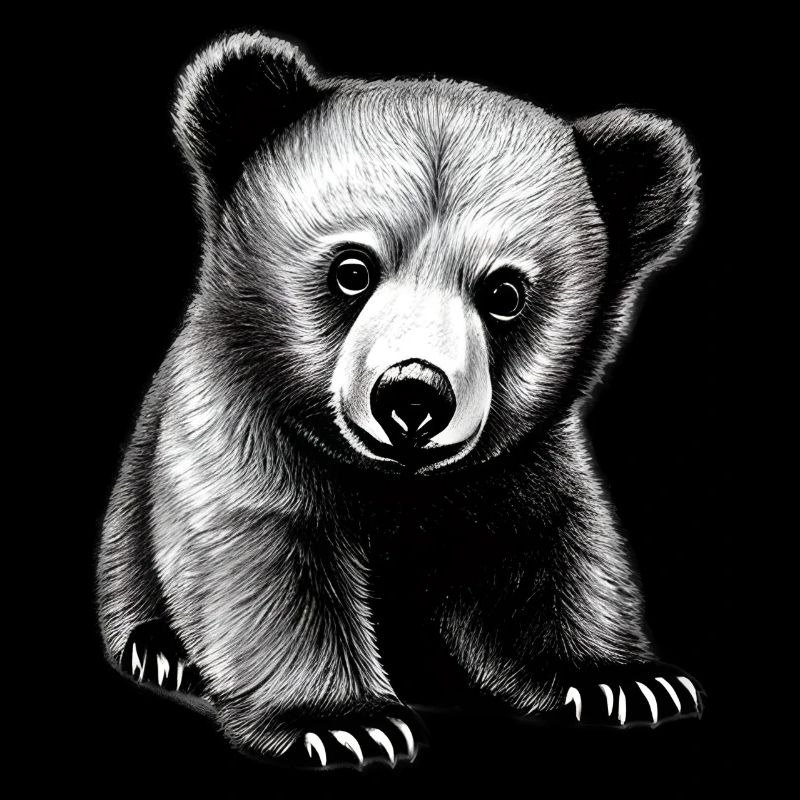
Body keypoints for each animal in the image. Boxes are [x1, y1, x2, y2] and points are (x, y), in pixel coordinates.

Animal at [96, 31, 704, 770]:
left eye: (504, 293)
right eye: (352, 270)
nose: (413, 396)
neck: (399, 485)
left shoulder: (518, 469)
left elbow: (548, 553)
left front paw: (624, 679)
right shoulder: (243, 424)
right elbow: (267, 556)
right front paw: (343, 723)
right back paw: (160, 650)